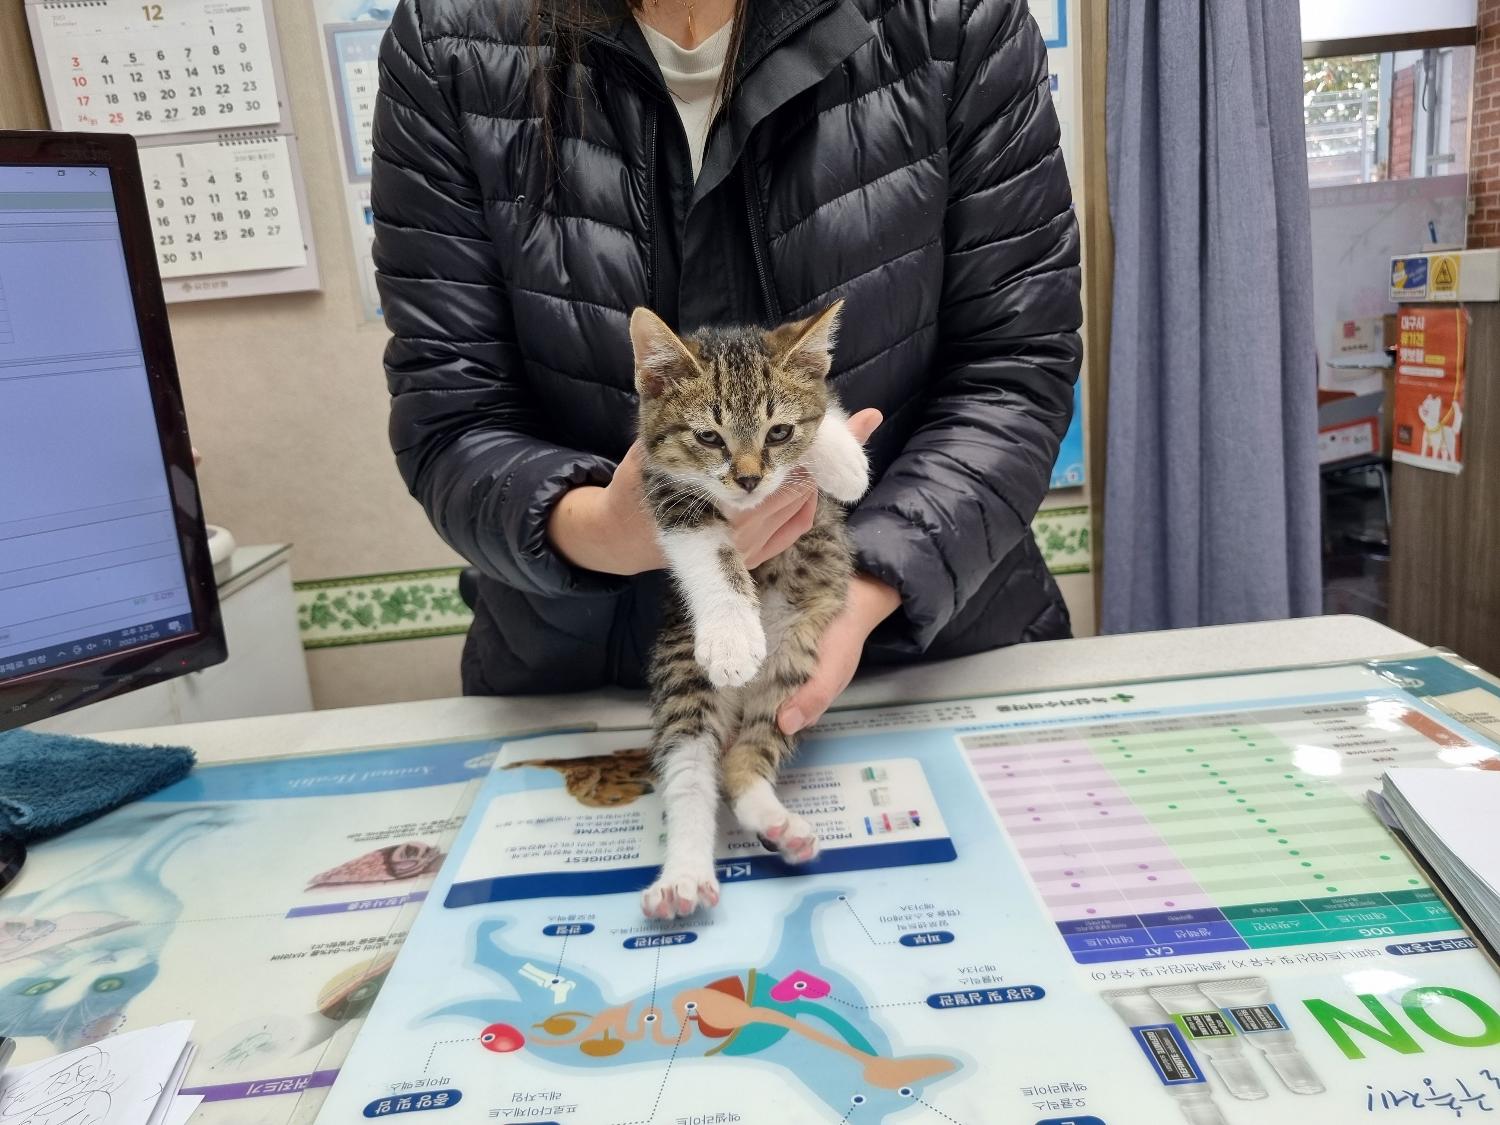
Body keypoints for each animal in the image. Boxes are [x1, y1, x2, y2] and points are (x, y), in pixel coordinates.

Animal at [630, 301, 870, 924]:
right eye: (708, 437)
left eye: (778, 431)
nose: (748, 478)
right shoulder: (662, 486)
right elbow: (711, 554)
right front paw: (733, 638)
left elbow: (821, 405)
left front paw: (844, 459)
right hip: (682, 666)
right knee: (692, 772)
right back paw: (683, 877)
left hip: (795, 660)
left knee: (746, 756)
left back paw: (778, 822)